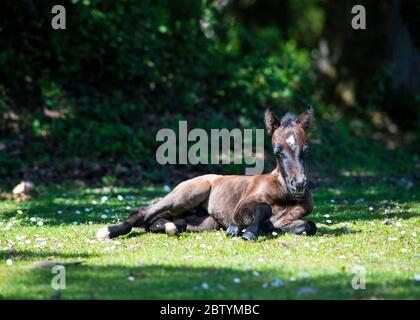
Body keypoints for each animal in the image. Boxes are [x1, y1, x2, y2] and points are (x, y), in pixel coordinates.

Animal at [97, 106, 316, 241]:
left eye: (306, 150)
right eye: (278, 152)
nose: (299, 184)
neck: (283, 194)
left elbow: (309, 225)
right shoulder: (242, 206)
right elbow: (263, 209)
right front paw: (247, 232)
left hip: (203, 221)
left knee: (160, 221)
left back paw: (171, 227)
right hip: (186, 195)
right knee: (145, 212)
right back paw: (108, 231)